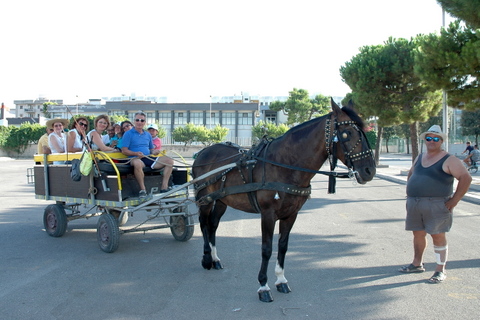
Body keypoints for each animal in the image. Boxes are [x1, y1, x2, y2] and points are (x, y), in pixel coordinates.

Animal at [191, 99, 376, 302]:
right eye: (346, 133)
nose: (369, 170)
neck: (285, 164)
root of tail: (203, 152)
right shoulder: (268, 214)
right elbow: (266, 249)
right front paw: (263, 286)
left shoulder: (291, 214)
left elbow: (283, 246)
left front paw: (281, 280)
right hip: (204, 198)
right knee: (204, 224)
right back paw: (206, 258)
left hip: (222, 200)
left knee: (213, 224)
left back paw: (215, 259)